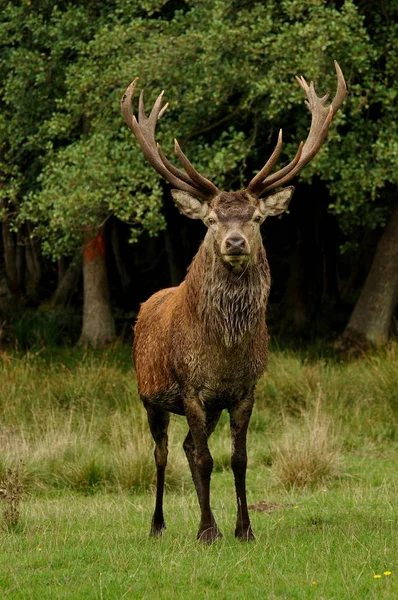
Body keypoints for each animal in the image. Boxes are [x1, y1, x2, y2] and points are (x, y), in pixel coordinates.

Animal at [120, 61, 346, 544]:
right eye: (210, 220)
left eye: (257, 218)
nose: (236, 242)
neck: (223, 355)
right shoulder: (191, 389)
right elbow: (207, 459)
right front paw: (207, 532)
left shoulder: (244, 390)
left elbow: (237, 460)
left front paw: (244, 529)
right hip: (150, 396)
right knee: (162, 453)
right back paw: (158, 525)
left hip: (205, 408)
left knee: (188, 446)